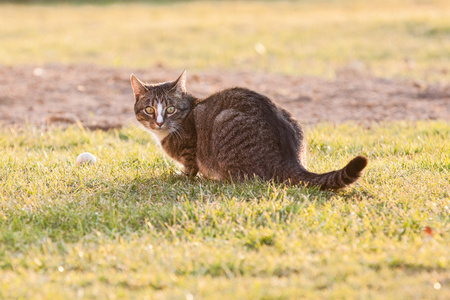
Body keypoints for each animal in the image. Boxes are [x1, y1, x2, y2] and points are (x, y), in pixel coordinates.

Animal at [131, 70, 370, 190]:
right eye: (149, 109)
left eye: (170, 109)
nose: (159, 122)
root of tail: (290, 159)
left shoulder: (191, 150)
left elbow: (190, 167)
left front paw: (181, 176)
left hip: (225, 121)